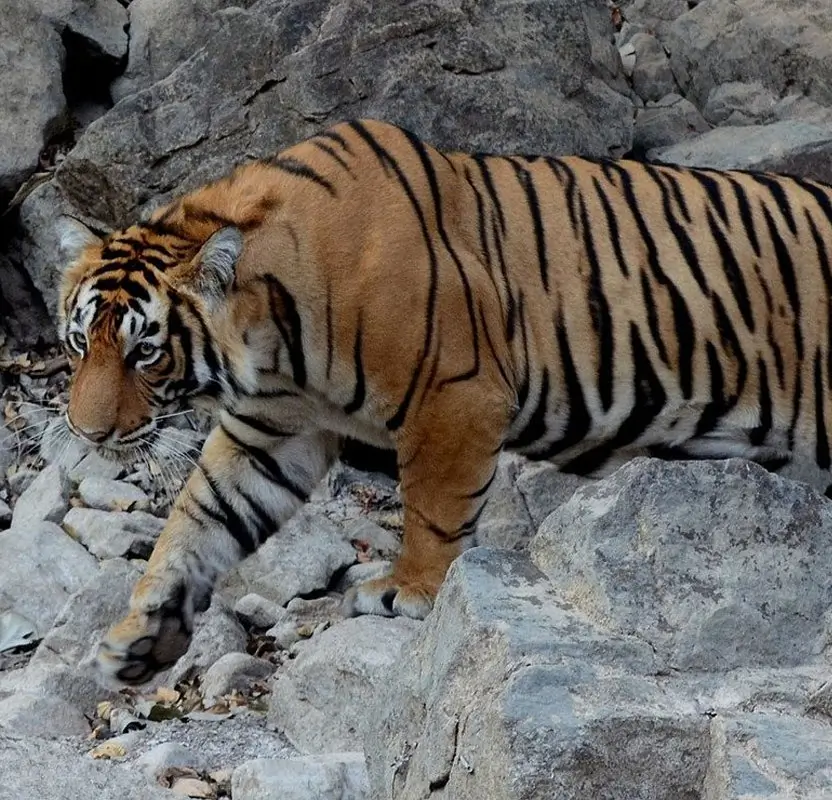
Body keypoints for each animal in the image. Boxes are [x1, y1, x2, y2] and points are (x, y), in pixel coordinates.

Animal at [55, 119, 832, 685]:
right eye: (79, 342)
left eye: (145, 352)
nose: (87, 433)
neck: (268, 340)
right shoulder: (270, 432)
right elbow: (199, 519)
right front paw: (140, 636)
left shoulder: (456, 395)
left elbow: (432, 505)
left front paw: (410, 589)